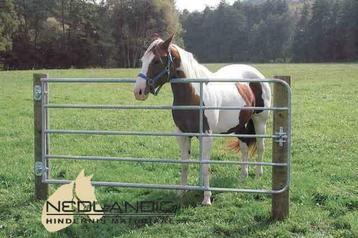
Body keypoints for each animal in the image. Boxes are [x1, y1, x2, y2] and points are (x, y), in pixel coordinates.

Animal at [134, 34, 272, 205]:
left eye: (157, 61)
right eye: (142, 60)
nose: (138, 91)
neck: (193, 95)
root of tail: (257, 74)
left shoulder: (206, 135)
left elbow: (205, 165)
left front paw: (207, 198)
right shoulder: (183, 135)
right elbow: (184, 163)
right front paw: (181, 193)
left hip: (260, 120)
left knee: (260, 146)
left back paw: (258, 176)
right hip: (240, 124)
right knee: (245, 148)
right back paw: (242, 177)